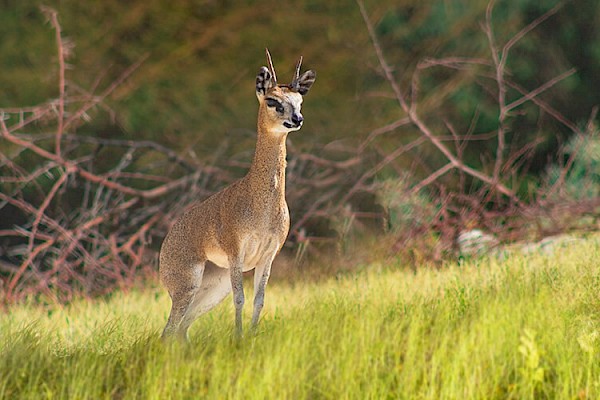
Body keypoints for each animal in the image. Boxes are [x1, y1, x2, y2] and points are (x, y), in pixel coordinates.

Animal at [159, 48, 318, 340]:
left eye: (300, 100)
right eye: (272, 100)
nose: (297, 119)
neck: (260, 210)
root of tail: (163, 249)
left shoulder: (269, 254)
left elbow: (259, 299)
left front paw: (252, 336)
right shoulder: (236, 252)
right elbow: (240, 298)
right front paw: (239, 337)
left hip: (213, 285)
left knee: (180, 329)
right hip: (186, 285)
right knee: (168, 330)